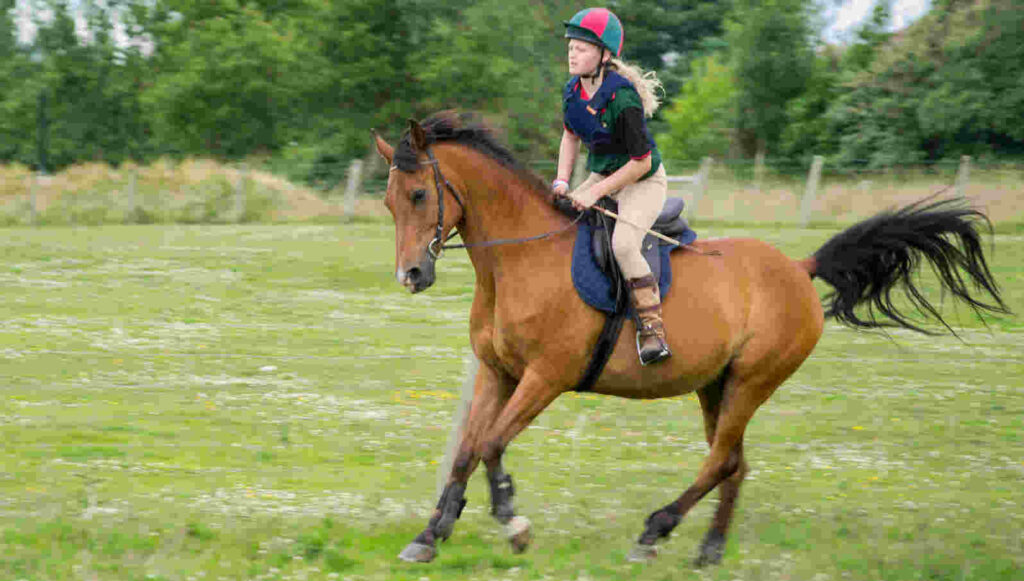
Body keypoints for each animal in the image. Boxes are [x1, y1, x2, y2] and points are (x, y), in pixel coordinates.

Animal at [370, 113, 1007, 569]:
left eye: (421, 196)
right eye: (388, 202)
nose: (411, 276)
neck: (519, 262)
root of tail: (798, 269)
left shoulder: (545, 378)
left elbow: (492, 445)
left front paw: (512, 521)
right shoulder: (497, 373)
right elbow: (466, 451)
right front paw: (430, 534)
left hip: (752, 380)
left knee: (721, 459)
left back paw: (655, 531)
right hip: (715, 387)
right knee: (735, 464)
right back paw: (709, 550)